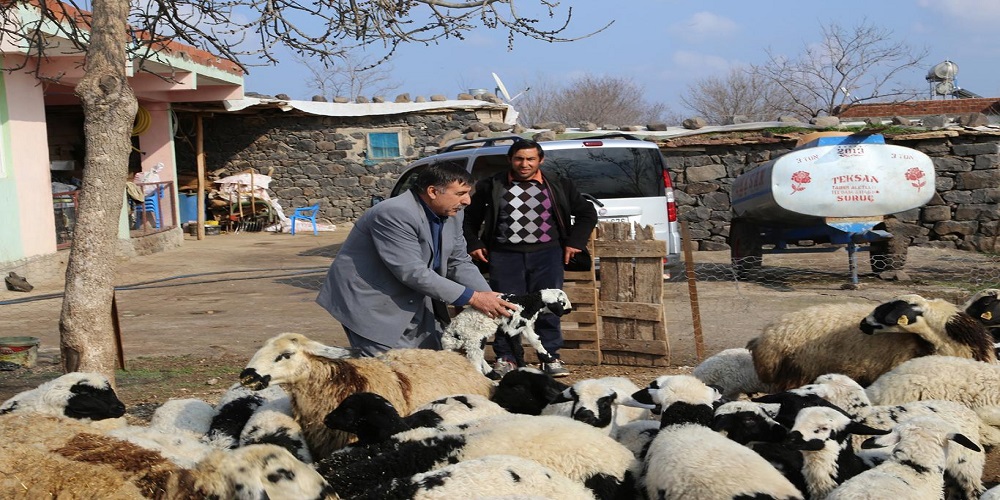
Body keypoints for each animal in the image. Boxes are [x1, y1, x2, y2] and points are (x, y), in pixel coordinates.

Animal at [444, 286, 576, 376]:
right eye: (562, 302)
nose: (570, 309)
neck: (528, 302)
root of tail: (450, 332)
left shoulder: (525, 326)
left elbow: (536, 341)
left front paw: (549, 358)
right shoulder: (512, 329)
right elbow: (518, 350)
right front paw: (523, 367)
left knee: (478, 356)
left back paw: (491, 373)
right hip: (474, 339)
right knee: (474, 359)